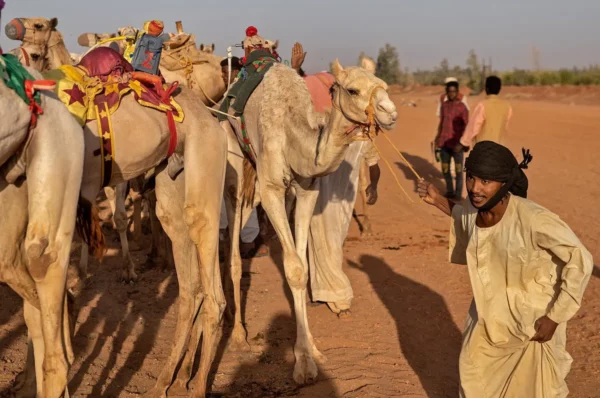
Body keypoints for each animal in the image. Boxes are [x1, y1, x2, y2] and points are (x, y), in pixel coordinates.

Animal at [220, 59, 398, 382]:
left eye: (384, 85)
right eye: (352, 90)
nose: (390, 112)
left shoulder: (306, 190)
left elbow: (302, 266)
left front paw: (311, 350)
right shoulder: (272, 190)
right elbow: (293, 269)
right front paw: (303, 365)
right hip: (235, 162)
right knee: (234, 246)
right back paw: (238, 335)